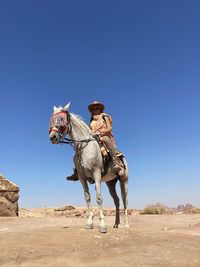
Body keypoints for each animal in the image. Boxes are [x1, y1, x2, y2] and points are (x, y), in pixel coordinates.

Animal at [49, 103, 129, 234]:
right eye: (51, 119)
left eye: (62, 119)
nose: (52, 137)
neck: (84, 147)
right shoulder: (82, 177)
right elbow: (87, 197)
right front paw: (89, 222)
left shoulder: (96, 174)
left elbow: (99, 198)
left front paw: (102, 225)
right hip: (110, 183)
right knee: (116, 201)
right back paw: (116, 223)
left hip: (124, 180)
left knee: (124, 200)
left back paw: (126, 224)